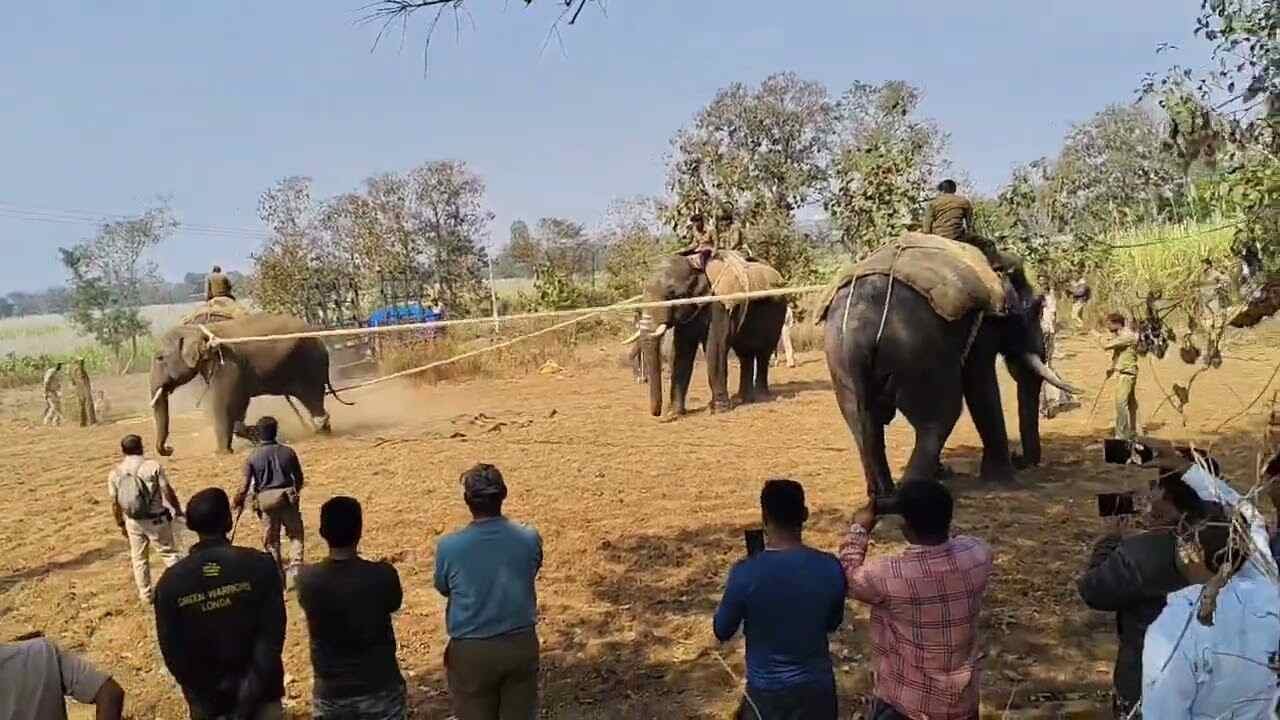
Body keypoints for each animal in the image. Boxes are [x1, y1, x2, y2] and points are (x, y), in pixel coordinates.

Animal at [148, 312, 350, 453]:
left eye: (159, 358)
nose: (169, 449)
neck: (198, 331)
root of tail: (319, 338)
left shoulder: (228, 366)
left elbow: (224, 404)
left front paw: (222, 453)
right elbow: (239, 405)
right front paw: (256, 437)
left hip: (310, 363)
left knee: (312, 397)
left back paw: (322, 435)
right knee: (312, 401)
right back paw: (321, 433)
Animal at [622, 254, 788, 417]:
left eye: (672, 294)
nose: (657, 414)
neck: (696, 268)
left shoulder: (719, 306)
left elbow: (714, 347)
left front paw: (718, 410)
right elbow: (682, 352)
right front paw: (673, 414)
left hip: (777, 312)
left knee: (763, 353)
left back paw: (761, 397)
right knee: (744, 354)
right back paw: (742, 399)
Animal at [819, 249, 1080, 497]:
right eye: (1034, 310)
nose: (1020, 459)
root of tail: (859, 331)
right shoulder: (983, 324)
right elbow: (980, 382)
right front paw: (1002, 479)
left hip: (841, 361)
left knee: (861, 421)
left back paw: (885, 494)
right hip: (916, 351)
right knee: (940, 417)